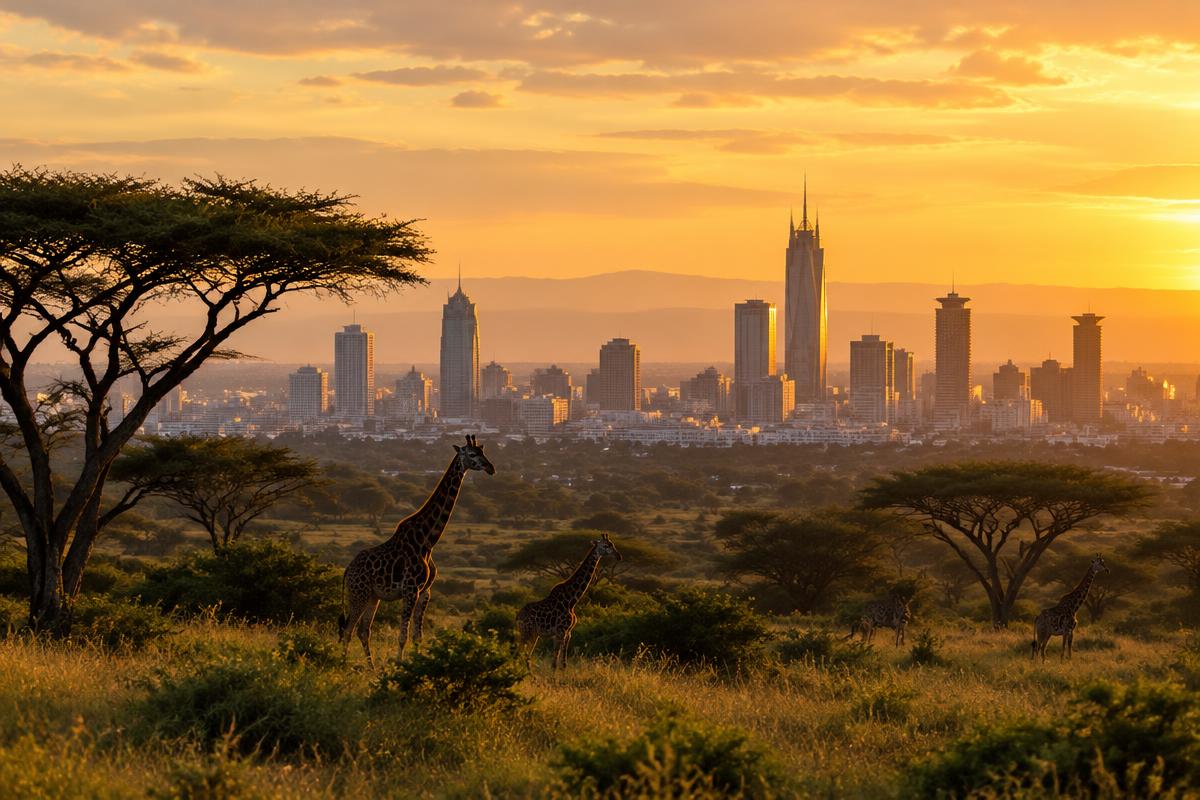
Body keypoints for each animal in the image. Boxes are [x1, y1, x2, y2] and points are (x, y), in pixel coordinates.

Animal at [338, 435, 495, 665]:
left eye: (484, 451)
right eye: (473, 454)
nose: (491, 468)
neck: (427, 541)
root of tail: (347, 570)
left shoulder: (425, 592)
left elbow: (418, 637)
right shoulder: (411, 589)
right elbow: (403, 637)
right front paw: (399, 664)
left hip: (373, 596)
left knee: (363, 631)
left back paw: (372, 668)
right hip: (359, 594)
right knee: (348, 630)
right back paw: (342, 663)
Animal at [517, 534, 622, 670]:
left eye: (612, 544)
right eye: (605, 545)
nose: (618, 556)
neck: (571, 600)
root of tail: (517, 617)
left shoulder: (567, 632)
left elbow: (563, 660)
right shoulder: (561, 631)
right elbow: (555, 660)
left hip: (532, 634)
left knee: (524, 655)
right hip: (528, 632)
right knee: (521, 654)